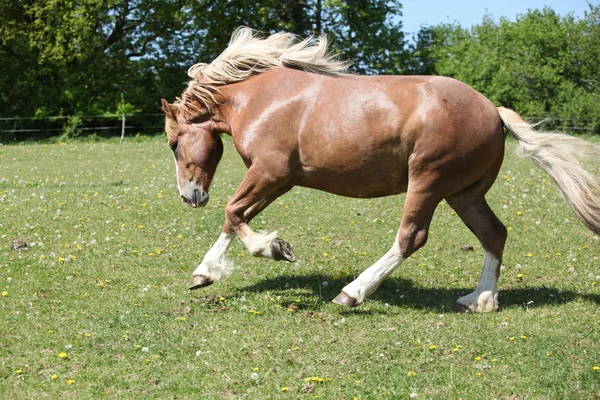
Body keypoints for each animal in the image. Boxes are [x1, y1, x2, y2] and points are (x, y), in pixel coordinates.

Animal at [161, 26, 600, 312]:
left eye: (173, 143)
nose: (189, 196)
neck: (260, 98)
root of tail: (492, 110)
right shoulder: (279, 181)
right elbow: (235, 218)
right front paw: (204, 274)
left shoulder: (270, 173)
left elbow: (234, 212)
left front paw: (272, 249)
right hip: (464, 193)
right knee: (494, 233)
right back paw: (481, 300)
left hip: (428, 181)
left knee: (411, 237)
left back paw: (352, 293)